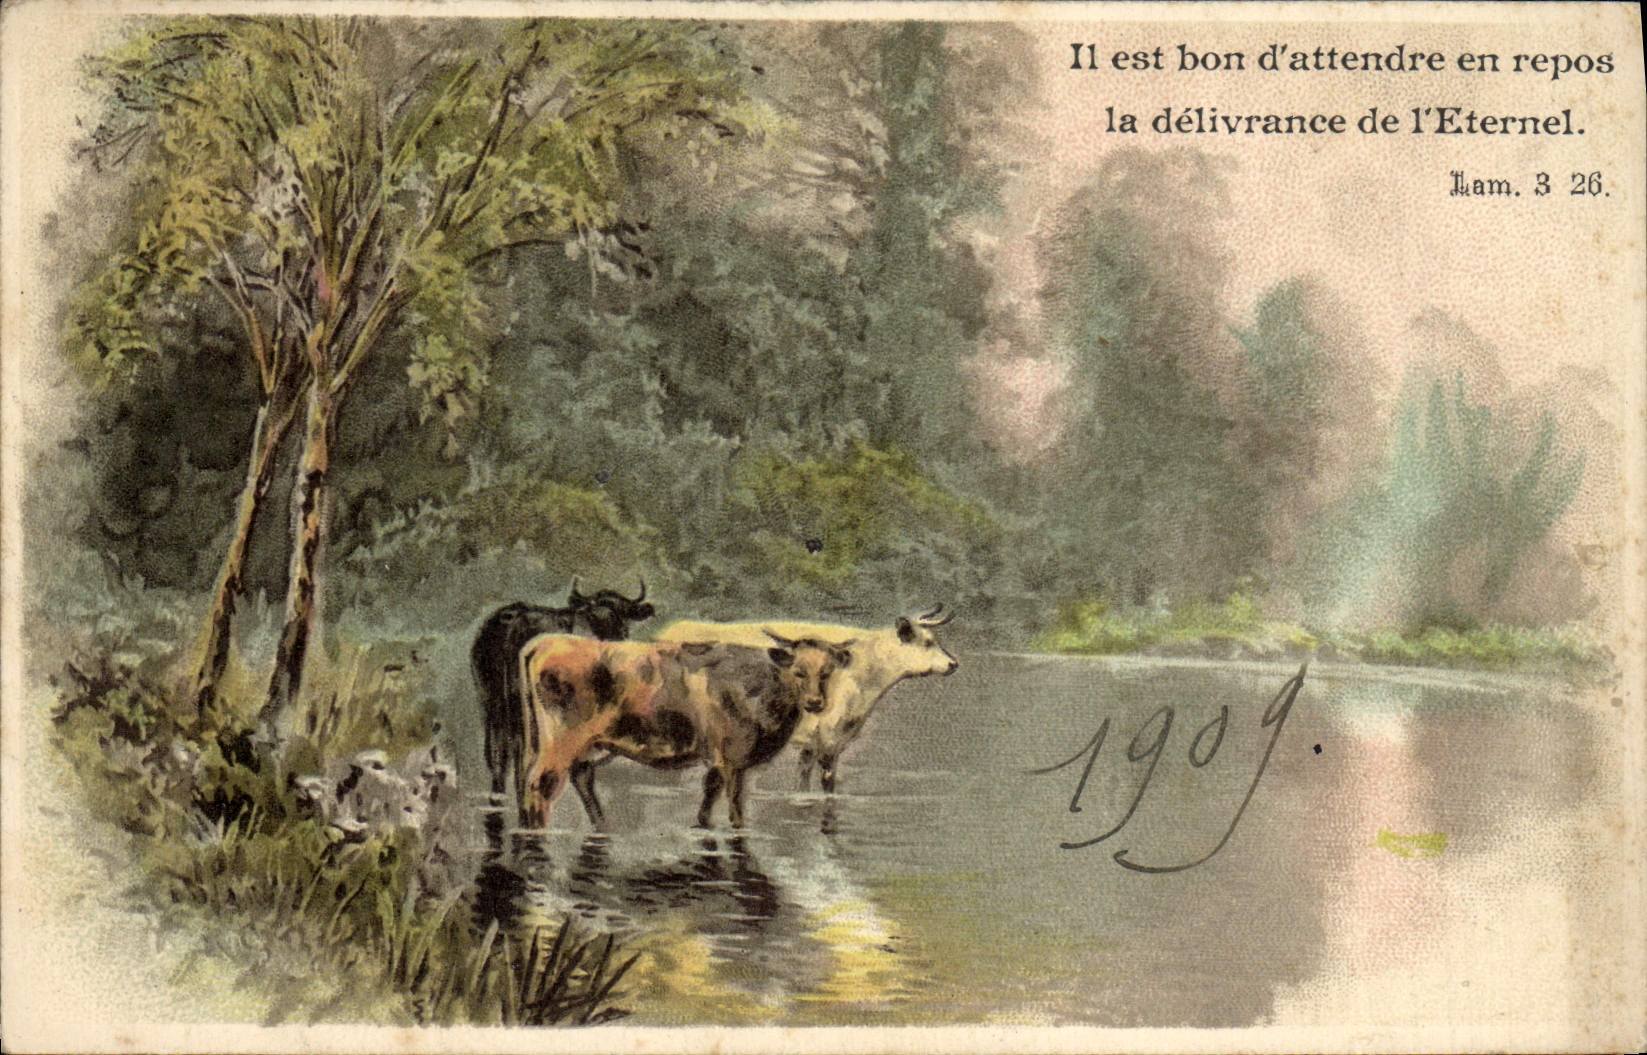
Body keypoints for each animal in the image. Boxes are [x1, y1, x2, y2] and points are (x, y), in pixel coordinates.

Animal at [516, 632, 851, 830]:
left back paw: (601, 825)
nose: (815, 702)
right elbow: (735, 806)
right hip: (561, 741)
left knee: (579, 778)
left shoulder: (716, 758)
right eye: (798, 671)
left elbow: (709, 793)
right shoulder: (733, 759)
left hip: (590, 744)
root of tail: (546, 642)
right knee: (541, 785)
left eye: (826, 672)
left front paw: (702, 824)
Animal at [655, 606, 957, 793]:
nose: (953, 664)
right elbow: (827, 785)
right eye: (927, 642)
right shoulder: (829, 739)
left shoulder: (814, 742)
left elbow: (802, 783)